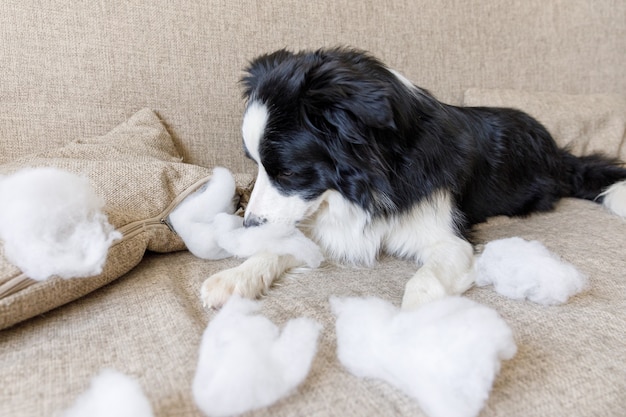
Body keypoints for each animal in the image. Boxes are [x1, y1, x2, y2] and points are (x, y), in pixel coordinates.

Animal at [200, 47, 624, 308]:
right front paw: (233, 278)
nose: (248, 224)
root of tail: (557, 151)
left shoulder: (448, 239)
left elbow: (424, 281)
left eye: (287, 171)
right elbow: (285, 245)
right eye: (256, 165)